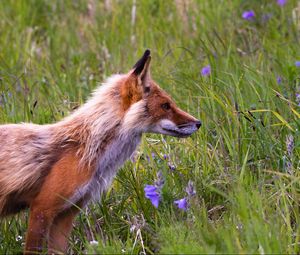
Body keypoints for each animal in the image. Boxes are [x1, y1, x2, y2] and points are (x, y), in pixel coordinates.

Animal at [0, 49, 202, 253]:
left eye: (170, 103)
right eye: (165, 106)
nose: (198, 123)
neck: (88, 148)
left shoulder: (67, 213)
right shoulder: (42, 208)